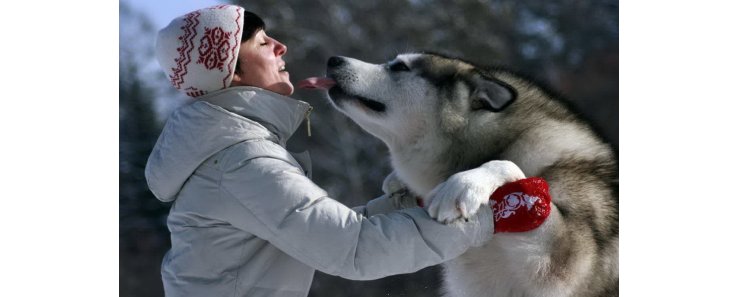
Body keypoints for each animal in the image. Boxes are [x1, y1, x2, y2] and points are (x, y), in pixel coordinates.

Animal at [314, 53, 620, 296]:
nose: (333, 60)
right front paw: (398, 182)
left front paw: (464, 185)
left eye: (399, 66)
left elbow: (507, 166)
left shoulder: (564, 261)